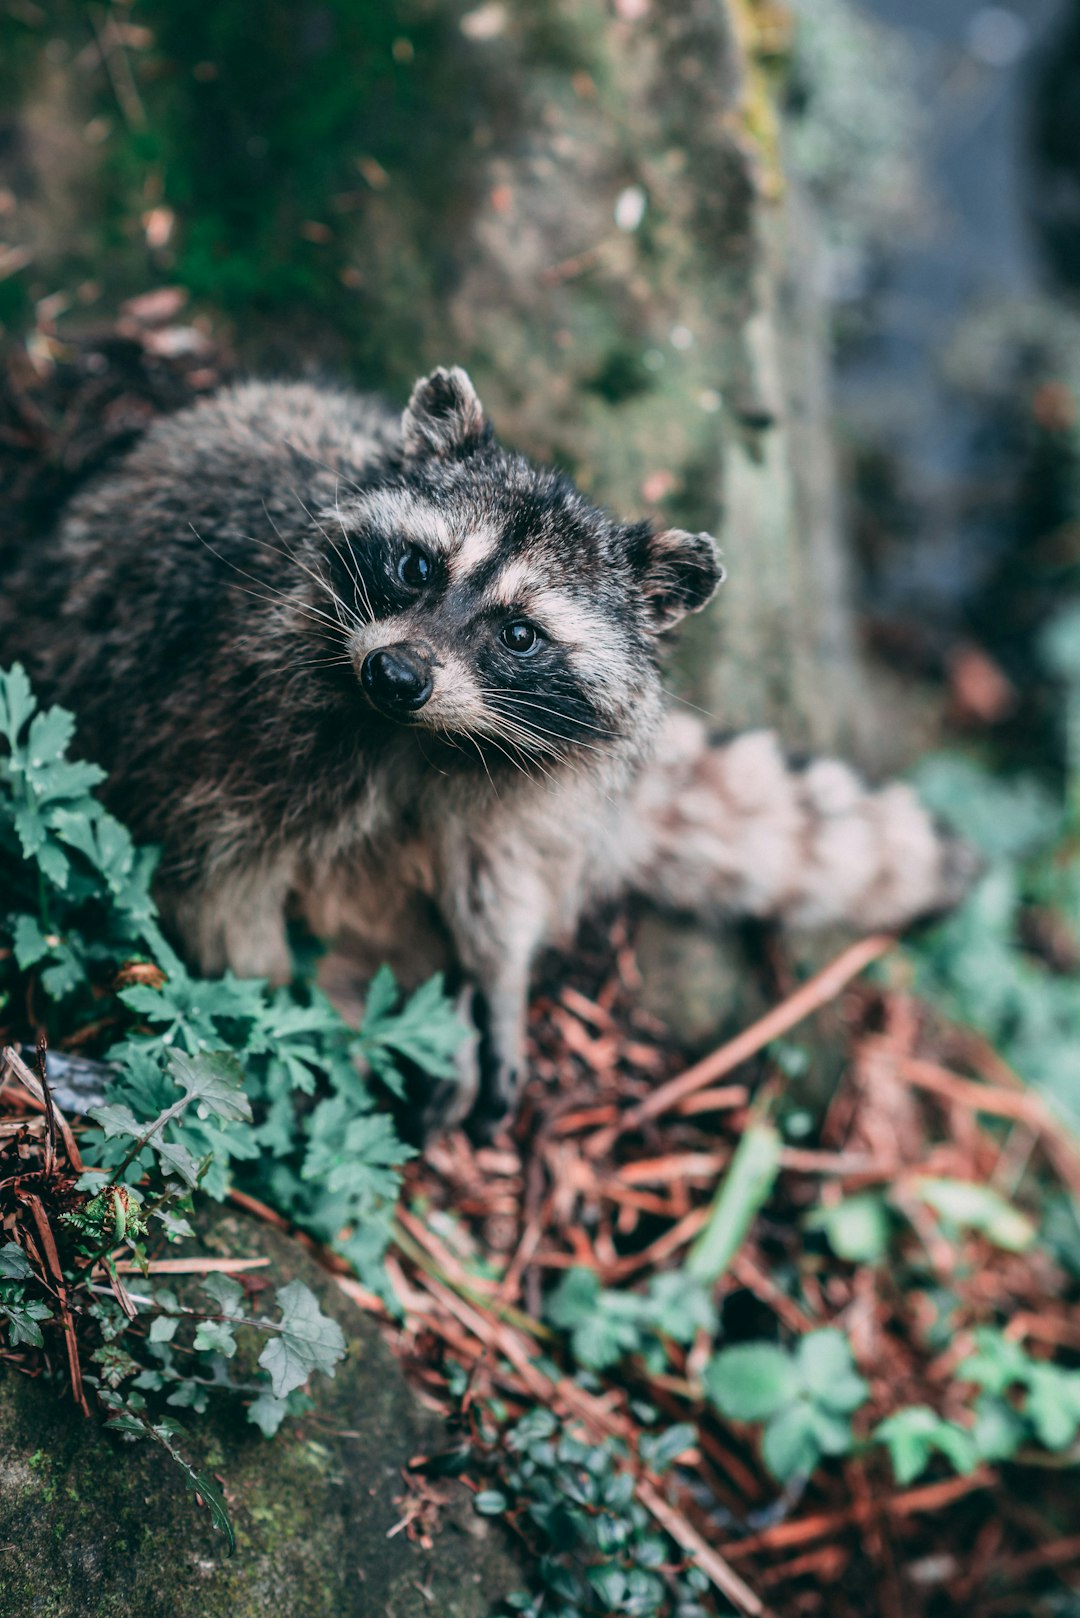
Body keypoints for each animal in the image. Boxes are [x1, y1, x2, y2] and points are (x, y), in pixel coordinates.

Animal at [0, 367, 977, 1126]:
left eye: (519, 635)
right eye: (416, 568)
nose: (396, 672)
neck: (420, 735)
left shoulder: (530, 787)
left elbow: (501, 885)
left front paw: (499, 981)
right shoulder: (232, 715)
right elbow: (218, 888)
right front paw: (305, 1008)